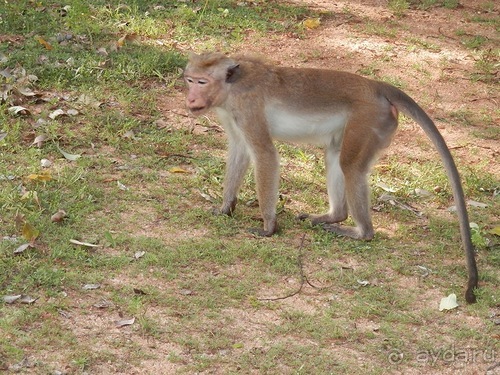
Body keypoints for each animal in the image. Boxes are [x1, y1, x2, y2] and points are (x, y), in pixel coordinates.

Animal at [185, 52, 480, 306]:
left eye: (202, 82)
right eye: (189, 80)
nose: (190, 98)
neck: (231, 87)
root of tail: (375, 86)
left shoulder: (247, 107)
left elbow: (265, 155)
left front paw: (269, 227)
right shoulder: (231, 114)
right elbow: (239, 150)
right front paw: (225, 208)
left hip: (368, 119)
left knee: (350, 166)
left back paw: (360, 232)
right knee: (335, 156)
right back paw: (333, 216)